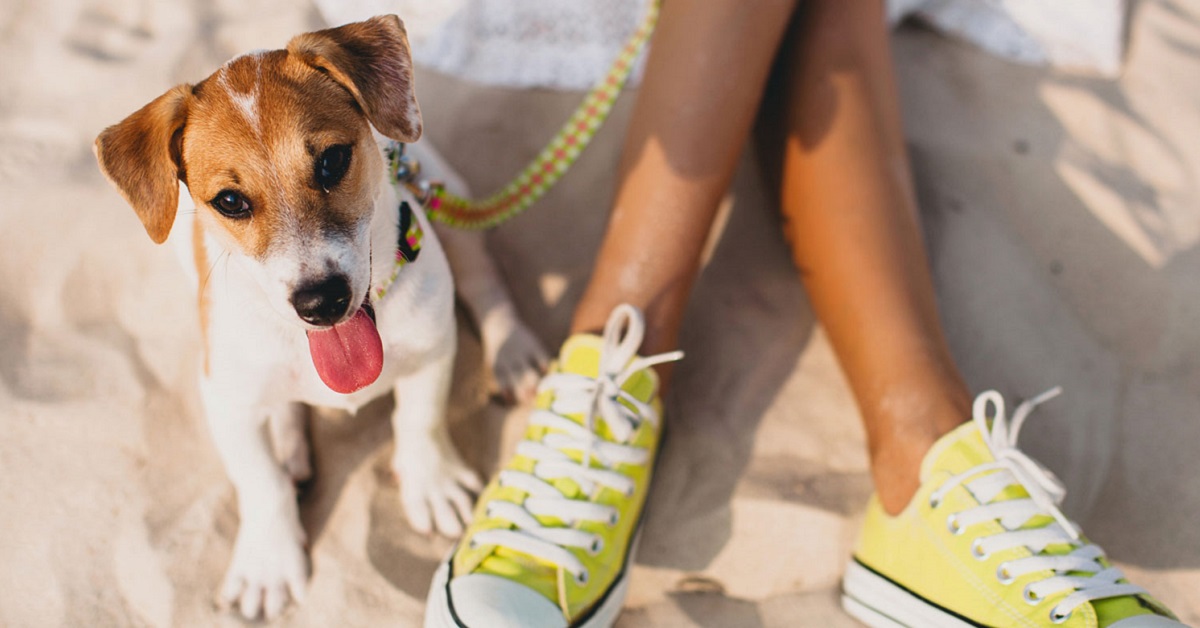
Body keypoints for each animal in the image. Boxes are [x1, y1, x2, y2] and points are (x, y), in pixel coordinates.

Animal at [93, 15, 544, 624]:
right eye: (230, 201)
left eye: (331, 161)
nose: (321, 302)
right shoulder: (227, 401)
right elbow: (259, 483)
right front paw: (269, 561)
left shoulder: (433, 344)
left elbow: (420, 419)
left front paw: (431, 483)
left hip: (453, 198)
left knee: (485, 280)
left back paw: (512, 351)